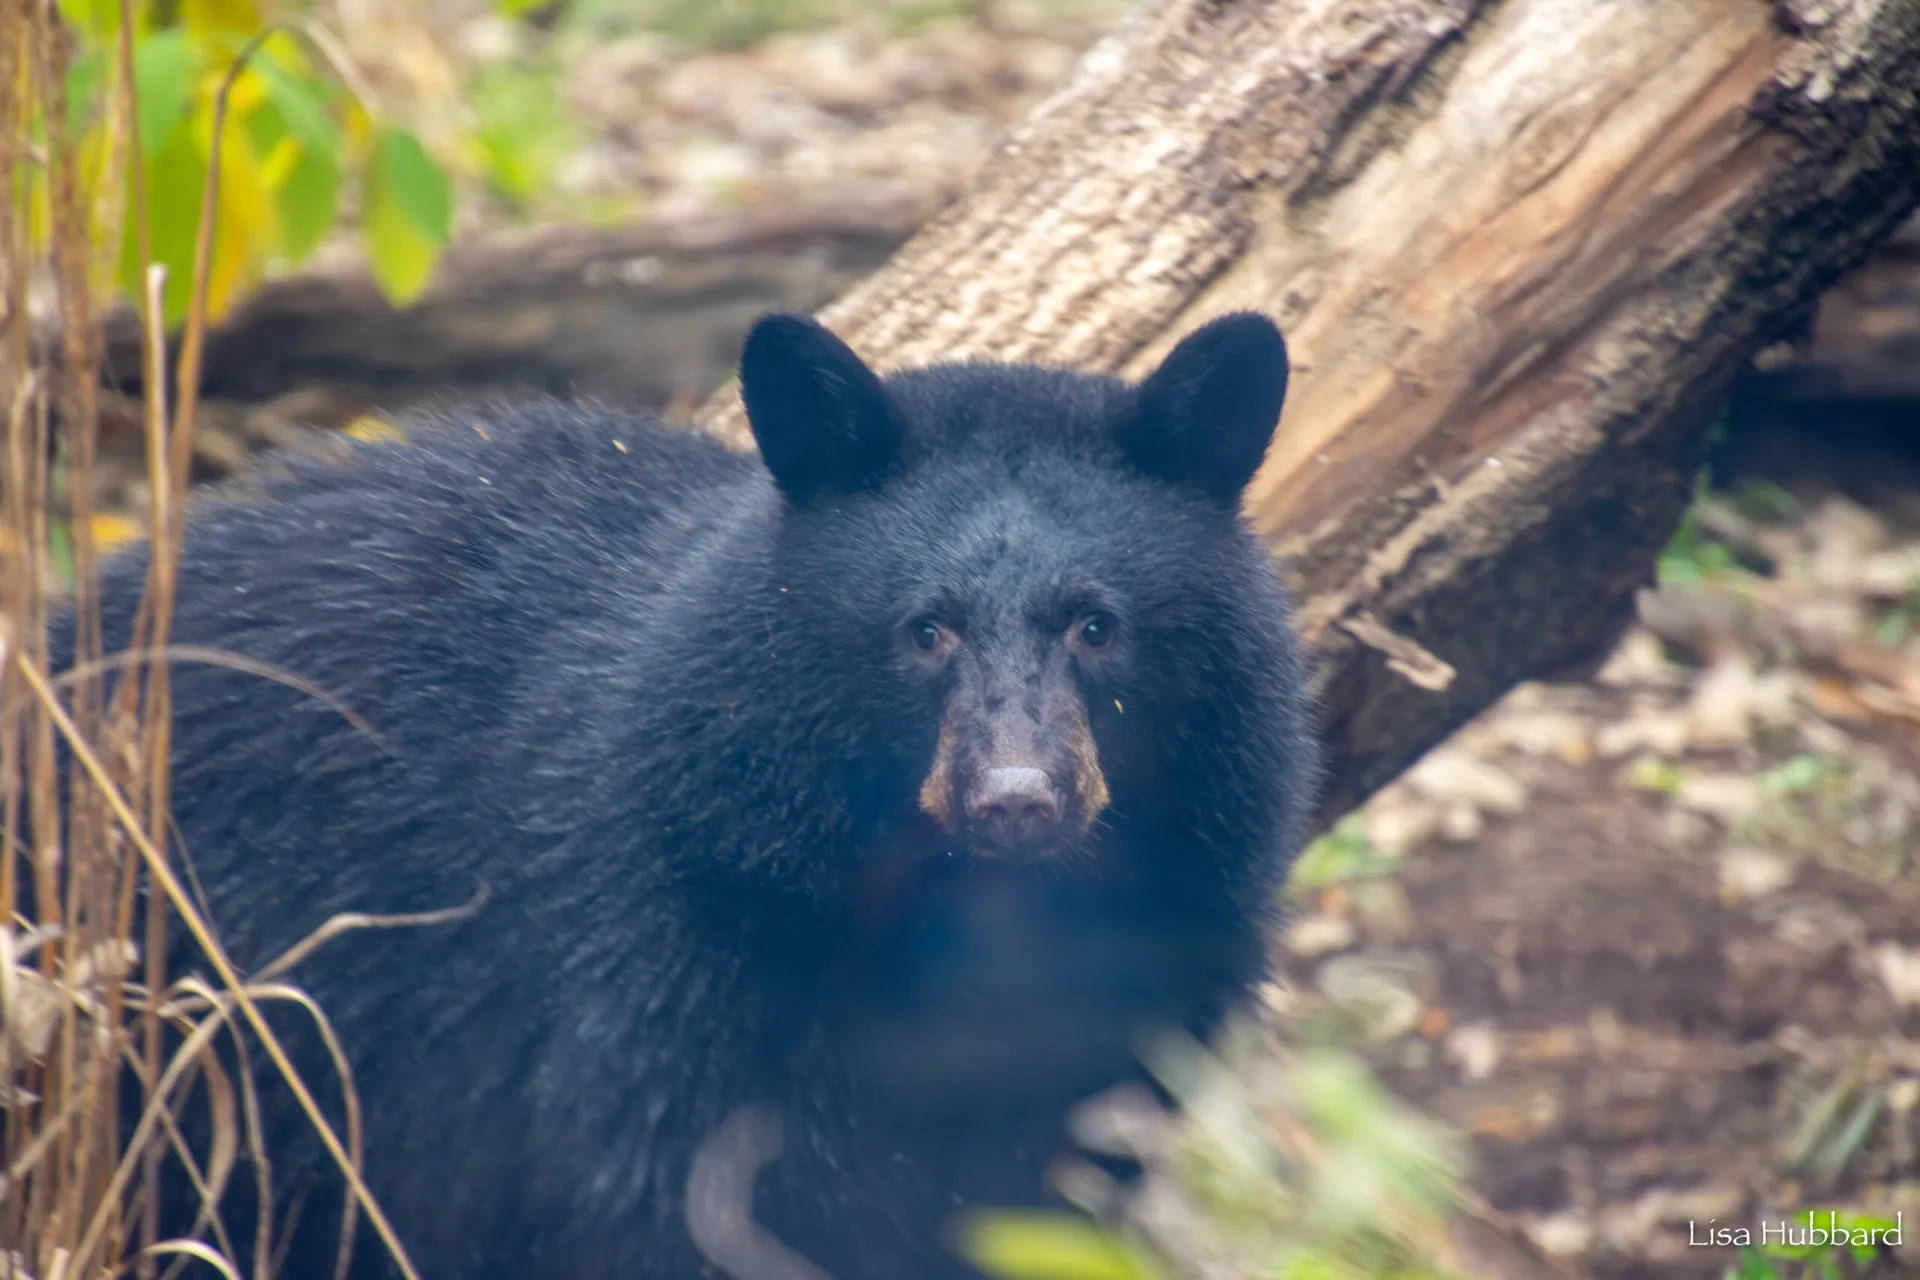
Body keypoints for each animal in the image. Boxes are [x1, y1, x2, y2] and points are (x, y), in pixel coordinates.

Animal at [47, 310, 1319, 1280]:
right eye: (925, 628)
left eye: (1099, 624)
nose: (1016, 798)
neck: (965, 921)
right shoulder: (664, 946)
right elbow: (663, 1193)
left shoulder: (1144, 977)